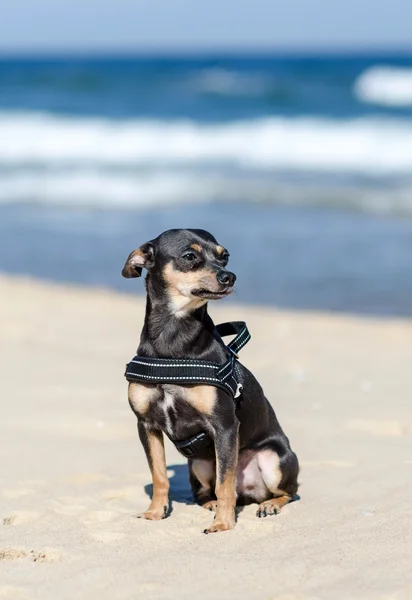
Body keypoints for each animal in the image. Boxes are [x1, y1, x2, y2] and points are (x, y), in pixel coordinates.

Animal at [122, 230, 300, 536]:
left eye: (224, 256)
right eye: (189, 256)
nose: (230, 276)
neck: (173, 339)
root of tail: (251, 493)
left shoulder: (224, 425)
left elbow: (225, 485)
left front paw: (223, 524)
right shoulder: (146, 425)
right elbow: (159, 477)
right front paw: (155, 513)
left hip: (273, 460)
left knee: (287, 491)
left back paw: (269, 504)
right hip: (199, 464)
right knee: (207, 491)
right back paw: (211, 504)